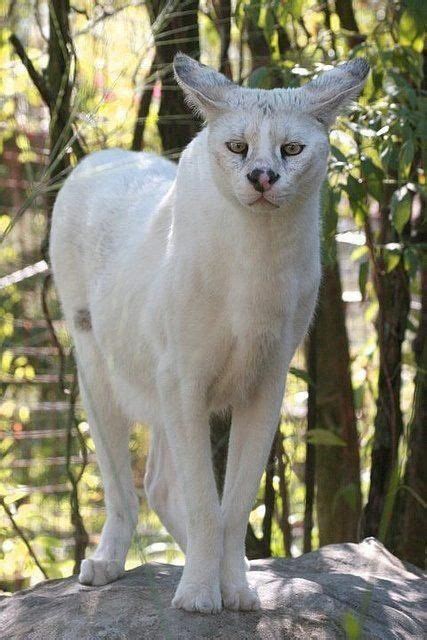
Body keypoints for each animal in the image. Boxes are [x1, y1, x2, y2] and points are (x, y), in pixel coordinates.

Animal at [50, 55, 370, 616]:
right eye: (238, 147)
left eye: (291, 149)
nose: (262, 177)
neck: (258, 260)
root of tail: (100, 159)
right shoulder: (184, 380)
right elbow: (204, 499)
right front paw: (200, 595)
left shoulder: (266, 384)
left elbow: (233, 504)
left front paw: (234, 587)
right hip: (96, 373)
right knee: (123, 488)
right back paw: (106, 564)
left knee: (158, 484)